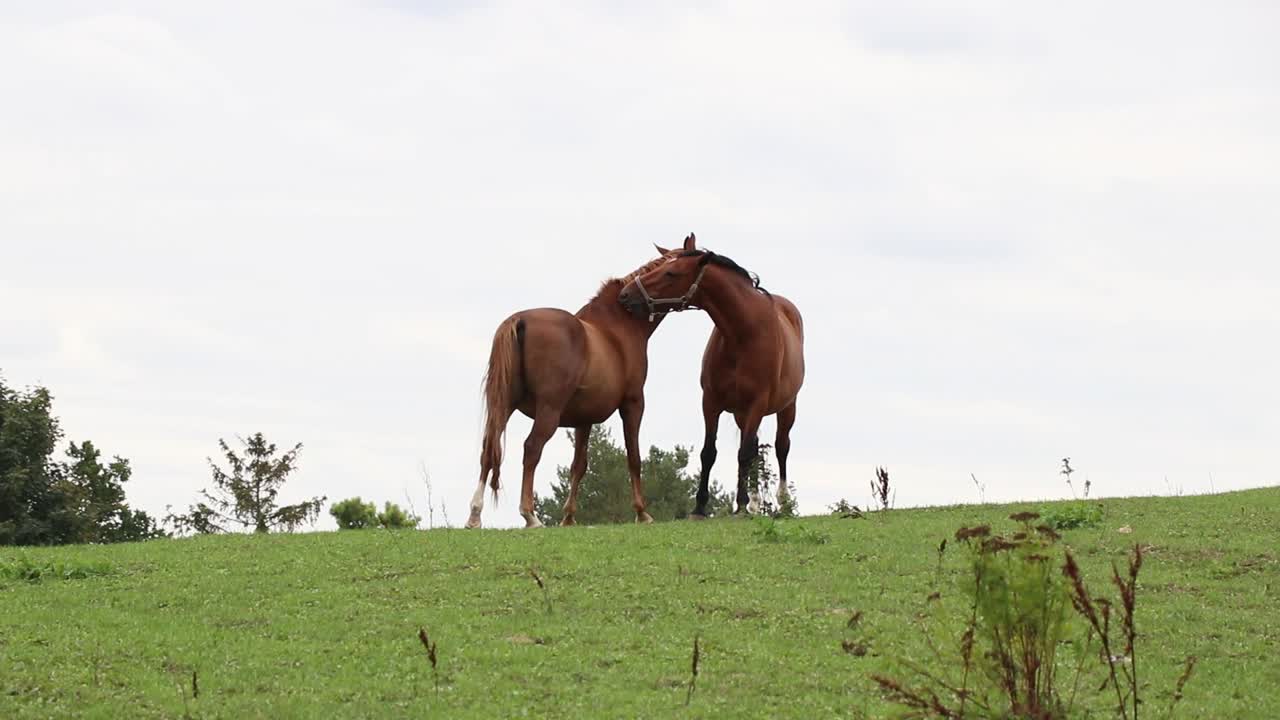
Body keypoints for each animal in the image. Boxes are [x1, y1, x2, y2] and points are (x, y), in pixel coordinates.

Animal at [466, 234, 700, 529]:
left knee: (488, 448)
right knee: (531, 449)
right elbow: (634, 457)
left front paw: (568, 516)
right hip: (548, 410)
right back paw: (529, 515)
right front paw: (641, 512)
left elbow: (579, 465)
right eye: (669, 270)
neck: (618, 327)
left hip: (504, 405)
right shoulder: (633, 403)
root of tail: (519, 320)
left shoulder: (584, 419)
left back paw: (475, 514)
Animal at [617, 236, 805, 517]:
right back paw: (755, 500)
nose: (625, 294)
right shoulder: (711, 402)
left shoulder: (757, 403)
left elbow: (743, 454)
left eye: (671, 273)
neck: (743, 333)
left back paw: (781, 501)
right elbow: (709, 453)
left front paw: (740, 504)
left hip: (785, 408)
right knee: (755, 447)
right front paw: (700, 506)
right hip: (742, 414)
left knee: (781, 446)